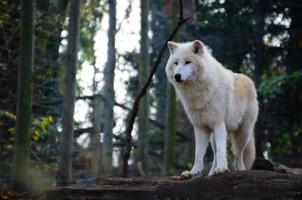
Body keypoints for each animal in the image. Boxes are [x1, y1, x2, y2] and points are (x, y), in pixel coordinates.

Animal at [166, 40, 258, 177]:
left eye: (187, 62)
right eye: (176, 63)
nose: (177, 76)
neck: (197, 92)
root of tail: (249, 80)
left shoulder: (218, 124)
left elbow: (221, 151)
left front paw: (222, 169)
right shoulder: (200, 127)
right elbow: (198, 154)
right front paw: (193, 172)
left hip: (243, 132)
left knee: (238, 156)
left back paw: (241, 170)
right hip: (213, 137)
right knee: (215, 155)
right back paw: (211, 173)